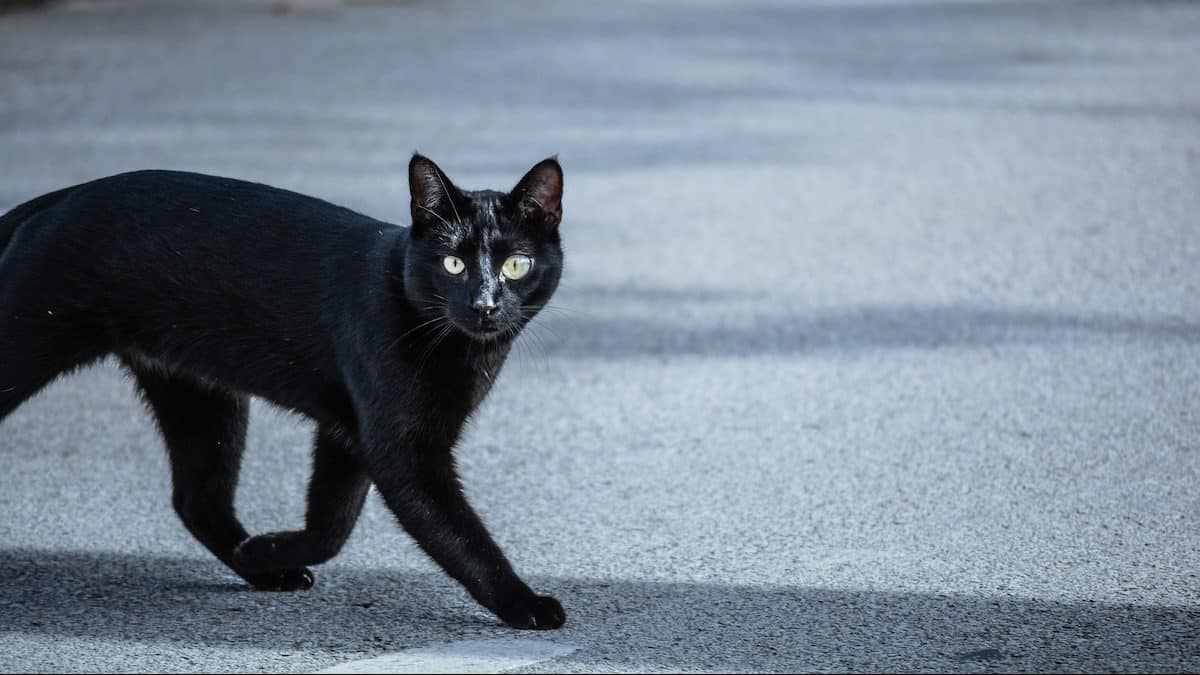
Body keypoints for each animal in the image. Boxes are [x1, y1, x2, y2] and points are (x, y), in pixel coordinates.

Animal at [0, 154, 566, 629]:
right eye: (454, 264)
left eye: (516, 264)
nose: (484, 305)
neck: (458, 350)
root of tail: (64, 195)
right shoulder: (401, 450)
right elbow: (460, 536)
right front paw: (525, 604)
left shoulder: (349, 433)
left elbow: (332, 524)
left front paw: (264, 551)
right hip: (29, 349)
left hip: (199, 397)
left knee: (196, 500)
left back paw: (259, 568)